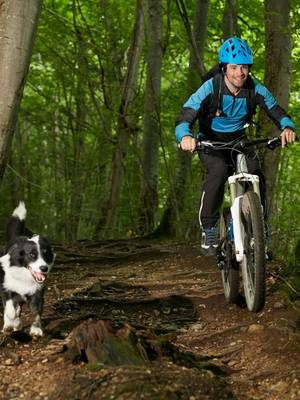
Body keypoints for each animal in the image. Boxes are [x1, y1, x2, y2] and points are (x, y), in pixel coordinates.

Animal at [0, 202, 54, 336]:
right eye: (32, 255)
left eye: (46, 254)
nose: (44, 268)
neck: (24, 275)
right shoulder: (6, 287)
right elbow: (10, 309)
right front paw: (12, 323)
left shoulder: (37, 292)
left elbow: (36, 312)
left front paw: (36, 330)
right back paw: (9, 325)